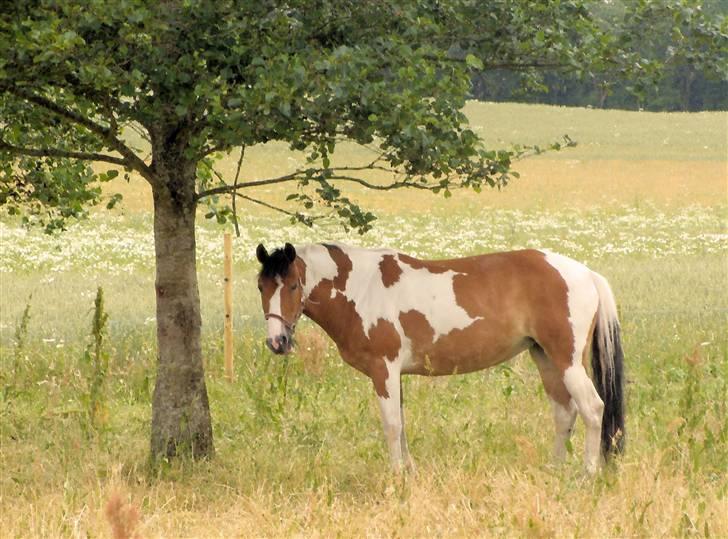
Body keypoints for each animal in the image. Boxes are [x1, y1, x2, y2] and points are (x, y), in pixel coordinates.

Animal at [256, 240, 624, 472]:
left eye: (292, 285)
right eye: (261, 286)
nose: (277, 341)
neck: (363, 288)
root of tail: (586, 273)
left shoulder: (383, 369)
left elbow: (391, 424)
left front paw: (395, 476)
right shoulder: (395, 375)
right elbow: (401, 423)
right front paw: (409, 471)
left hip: (567, 361)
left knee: (592, 409)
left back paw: (587, 474)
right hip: (545, 358)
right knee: (564, 413)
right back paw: (554, 469)